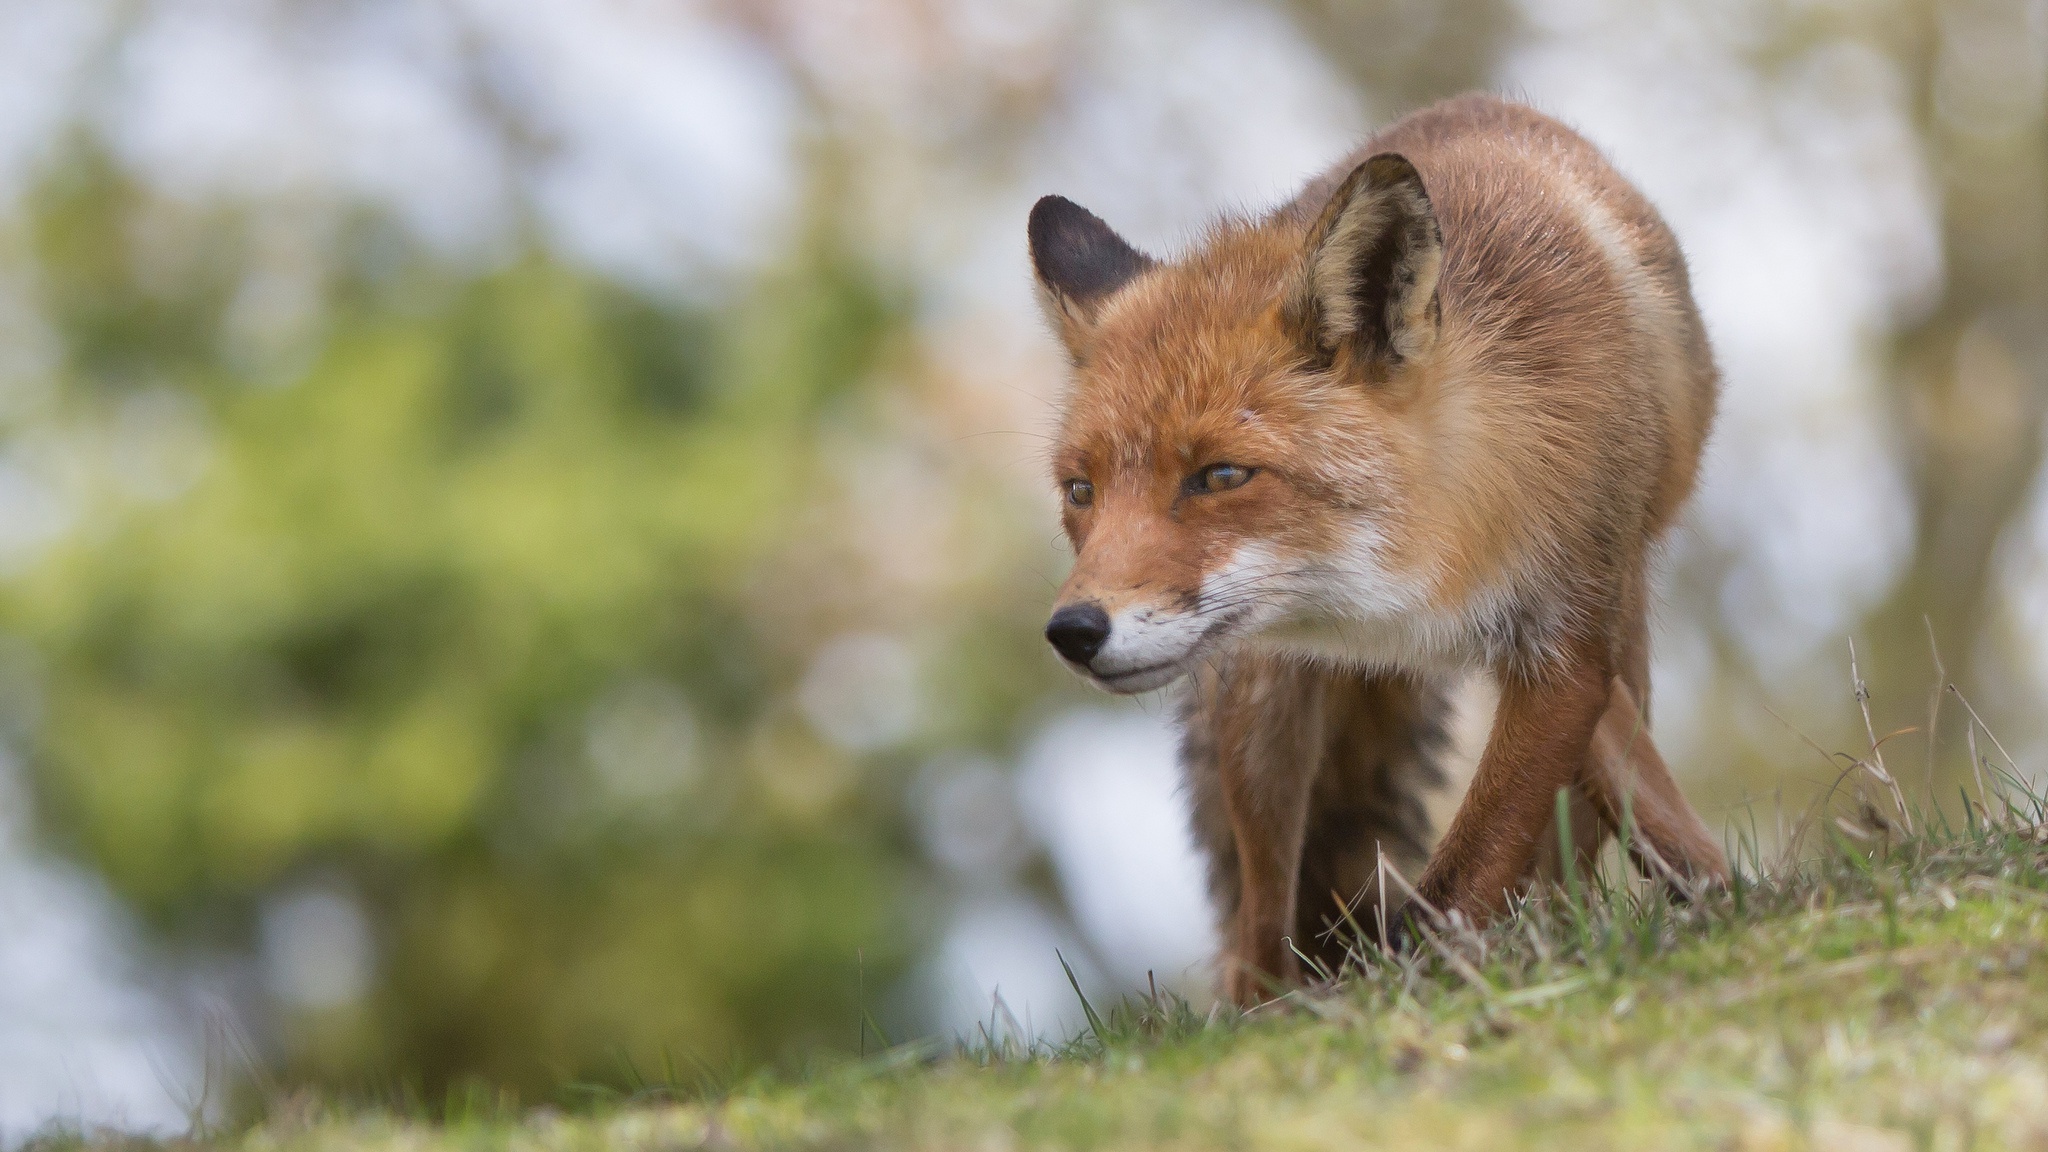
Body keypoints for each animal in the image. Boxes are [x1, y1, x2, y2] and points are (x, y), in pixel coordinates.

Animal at [1032, 94, 1720, 1000]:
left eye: (1220, 475)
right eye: (1081, 492)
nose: (1073, 631)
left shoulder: (1569, 642)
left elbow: (1474, 866)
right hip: (1261, 706)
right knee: (1262, 917)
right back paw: (1272, 1006)